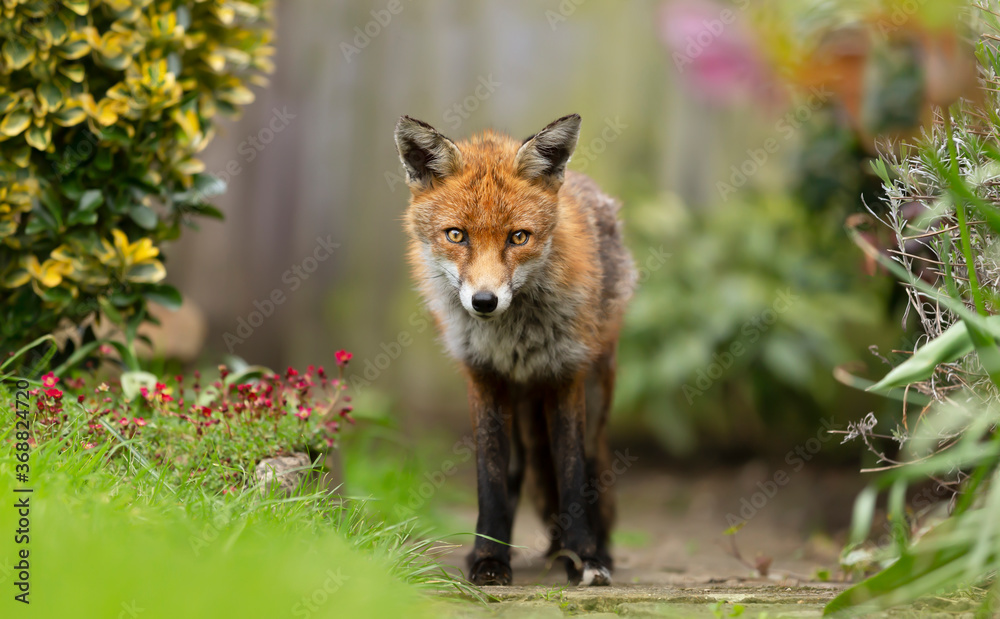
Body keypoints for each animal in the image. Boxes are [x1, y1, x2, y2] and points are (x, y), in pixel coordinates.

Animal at [394, 113, 635, 587]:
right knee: (514, 473)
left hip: (595, 399)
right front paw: (489, 560)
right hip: (519, 411)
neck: (514, 341)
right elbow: (490, 481)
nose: (484, 301)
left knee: (592, 467)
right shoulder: (484, 379)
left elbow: (572, 475)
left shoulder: (566, 378)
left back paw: (590, 551)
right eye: (456, 235)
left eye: (518, 237)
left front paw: (586, 558)